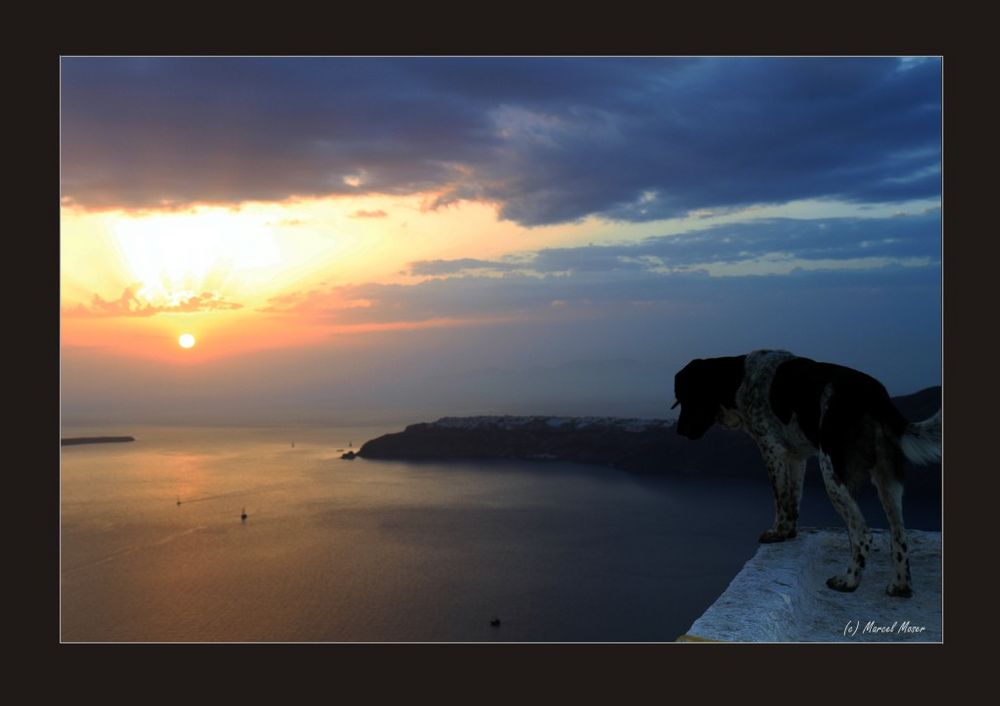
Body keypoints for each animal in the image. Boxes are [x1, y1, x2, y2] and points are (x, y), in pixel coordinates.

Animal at [676, 346, 940, 592]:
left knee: (863, 535)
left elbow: (780, 499)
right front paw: (789, 532)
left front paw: (777, 533)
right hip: (888, 481)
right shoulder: (796, 456)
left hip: (833, 474)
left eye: (687, 397)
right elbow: (792, 500)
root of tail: (876, 394)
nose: (679, 431)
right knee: (899, 536)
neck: (739, 379)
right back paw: (900, 586)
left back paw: (849, 581)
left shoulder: (771, 449)